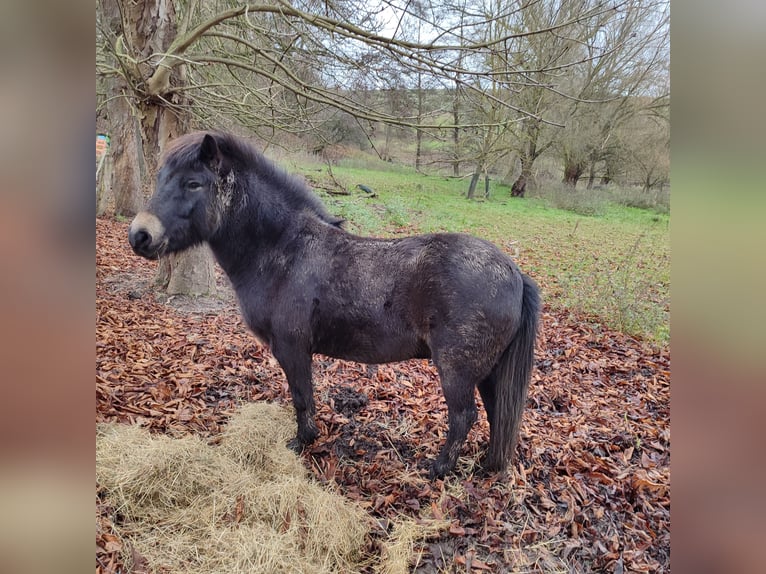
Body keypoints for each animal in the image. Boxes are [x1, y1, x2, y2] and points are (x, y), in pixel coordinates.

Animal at [130, 133, 540, 480]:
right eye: (161, 178)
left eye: (193, 183)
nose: (140, 236)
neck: (283, 249)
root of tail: (514, 273)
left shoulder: (292, 348)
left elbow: (301, 397)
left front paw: (302, 441)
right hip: (488, 371)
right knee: (497, 413)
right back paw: (488, 464)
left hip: (457, 369)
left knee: (464, 417)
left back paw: (439, 468)